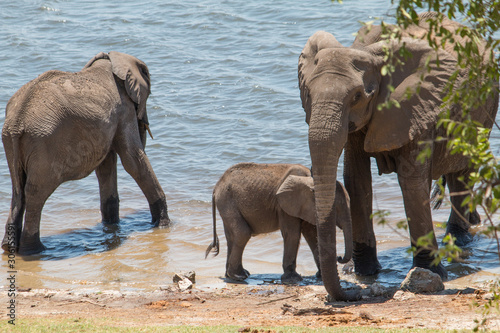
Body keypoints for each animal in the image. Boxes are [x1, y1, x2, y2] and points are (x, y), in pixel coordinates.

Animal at [1, 52, 172, 254]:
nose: (144, 122)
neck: (111, 59)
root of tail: (17, 121)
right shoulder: (124, 108)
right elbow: (132, 159)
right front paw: (164, 225)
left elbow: (106, 165)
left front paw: (112, 226)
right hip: (42, 144)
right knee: (35, 192)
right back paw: (34, 250)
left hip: (10, 142)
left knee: (17, 190)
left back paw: (10, 247)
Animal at [204, 162, 352, 284]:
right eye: (336, 209)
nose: (339, 257)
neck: (311, 179)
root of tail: (216, 187)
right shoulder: (285, 205)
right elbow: (292, 234)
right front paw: (293, 279)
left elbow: (311, 234)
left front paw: (320, 277)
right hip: (227, 202)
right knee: (242, 233)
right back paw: (239, 276)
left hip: (226, 204)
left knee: (232, 237)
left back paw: (232, 275)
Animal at [298, 11, 498, 300]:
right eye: (308, 94)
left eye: (357, 96)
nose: (340, 261)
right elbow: (356, 180)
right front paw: (365, 272)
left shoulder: (418, 106)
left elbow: (411, 182)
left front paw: (432, 272)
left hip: (485, 107)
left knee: (462, 170)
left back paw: (459, 240)